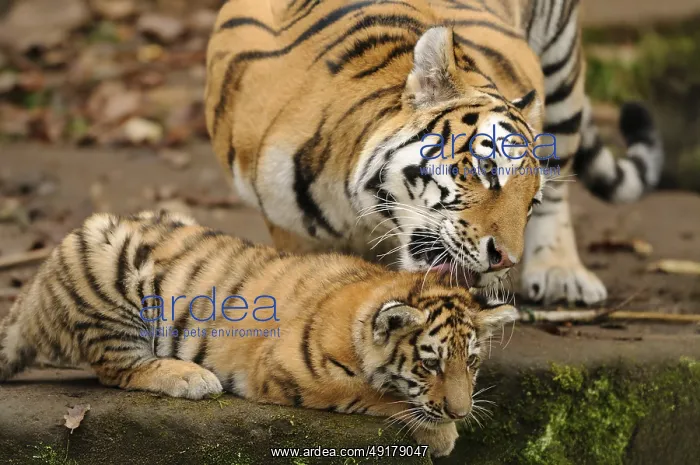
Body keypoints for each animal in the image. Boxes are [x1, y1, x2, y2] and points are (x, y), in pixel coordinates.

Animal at [0, 210, 517, 457]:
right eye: (430, 365)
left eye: (471, 362)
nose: (463, 411)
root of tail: (39, 281)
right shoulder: (296, 372)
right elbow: (380, 396)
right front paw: (441, 433)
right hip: (107, 265)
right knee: (117, 369)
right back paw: (190, 378)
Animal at [205, 0, 663, 306]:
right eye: (486, 168)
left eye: (528, 203)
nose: (505, 261)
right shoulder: (290, 227)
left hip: (562, 65)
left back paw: (560, 273)